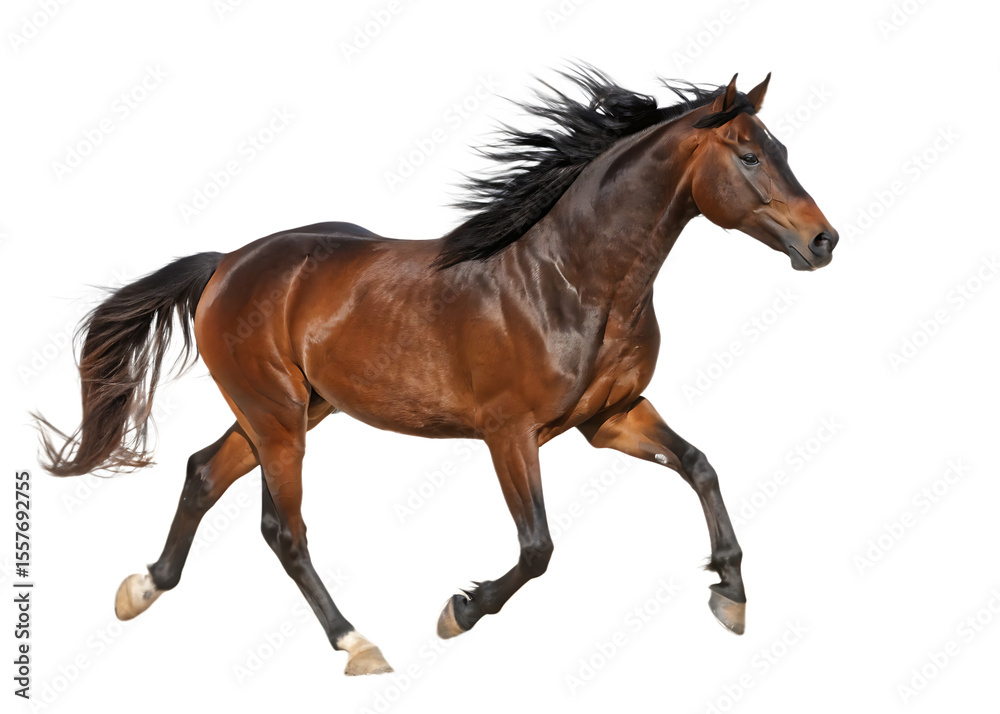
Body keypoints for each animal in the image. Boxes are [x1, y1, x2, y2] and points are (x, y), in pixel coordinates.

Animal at [37, 67, 838, 676]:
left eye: (782, 147)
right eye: (748, 156)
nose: (823, 241)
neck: (573, 280)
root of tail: (227, 263)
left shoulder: (610, 418)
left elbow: (700, 466)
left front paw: (730, 594)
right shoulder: (509, 432)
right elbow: (538, 547)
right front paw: (460, 611)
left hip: (295, 409)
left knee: (205, 472)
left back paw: (142, 588)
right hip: (277, 417)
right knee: (282, 528)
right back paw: (357, 644)